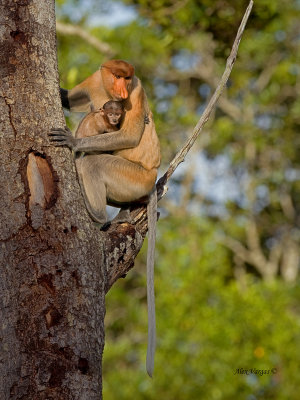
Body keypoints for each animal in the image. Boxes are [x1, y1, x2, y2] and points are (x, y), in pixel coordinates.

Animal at [49, 59, 161, 378]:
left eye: (127, 79)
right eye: (116, 76)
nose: (121, 91)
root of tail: (151, 183)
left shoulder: (137, 94)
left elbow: (129, 135)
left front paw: (73, 140)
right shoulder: (95, 81)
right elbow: (73, 99)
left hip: (131, 176)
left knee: (94, 163)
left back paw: (94, 212)